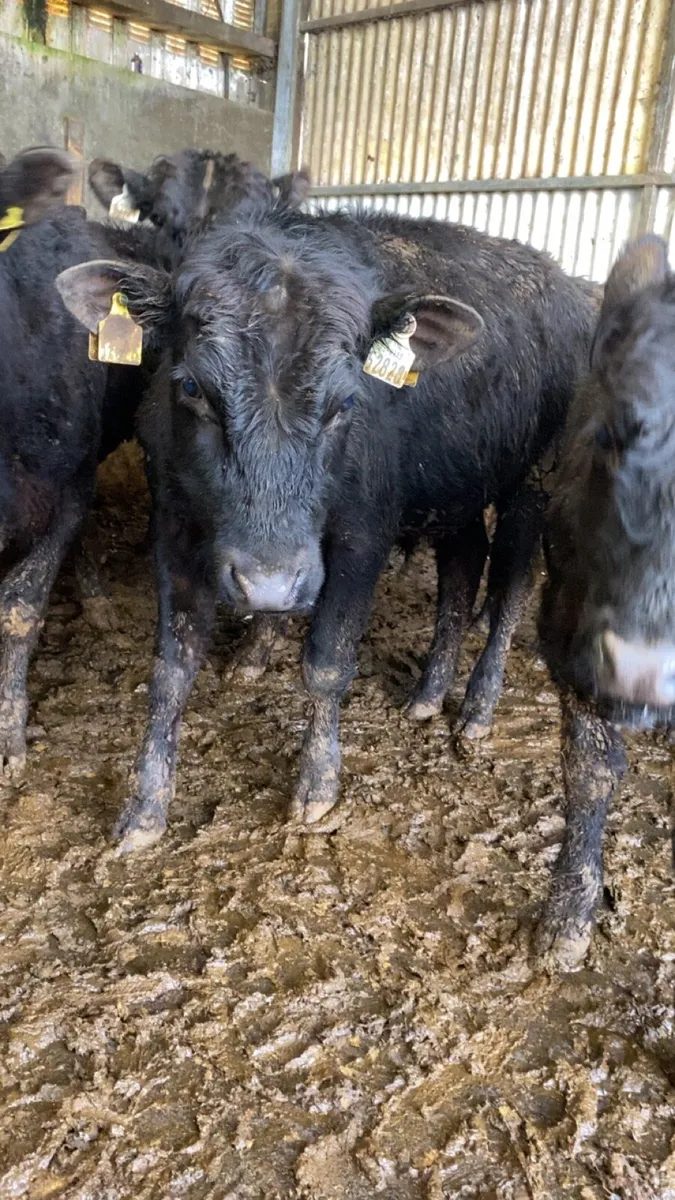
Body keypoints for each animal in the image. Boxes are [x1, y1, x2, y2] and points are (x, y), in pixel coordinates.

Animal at [56, 204, 598, 851]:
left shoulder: (363, 535)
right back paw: (428, 694)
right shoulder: (175, 525)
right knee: (463, 569)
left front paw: (317, 786)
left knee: (512, 586)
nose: (268, 583)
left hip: (533, 483)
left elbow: (327, 663)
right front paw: (144, 810)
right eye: (191, 387)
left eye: (346, 402)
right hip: (456, 490)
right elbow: (171, 667)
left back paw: (477, 709)